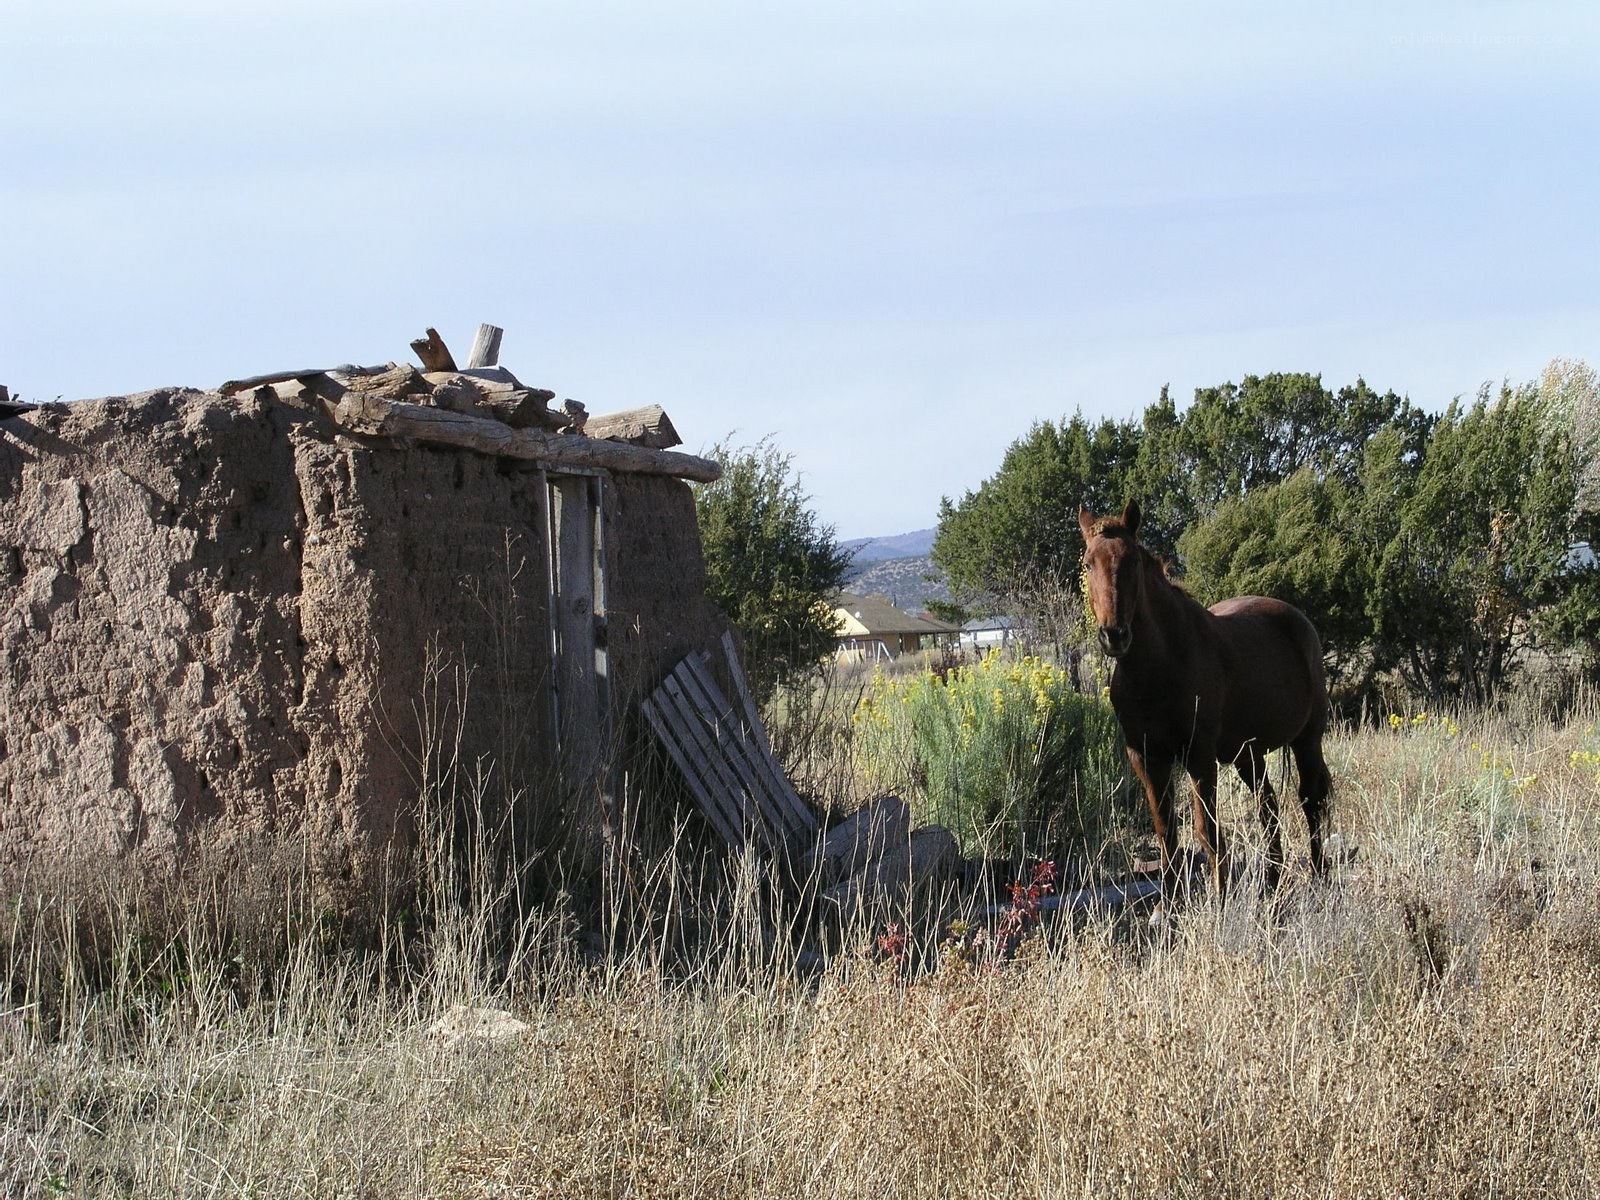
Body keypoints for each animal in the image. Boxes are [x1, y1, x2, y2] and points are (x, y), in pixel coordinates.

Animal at [1078, 500, 1331, 899]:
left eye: (1131, 561)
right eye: (1089, 563)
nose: (1114, 635)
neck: (1158, 668)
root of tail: (1298, 619)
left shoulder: (1199, 755)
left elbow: (1207, 832)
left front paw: (1220, 899)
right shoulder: (1146, 757)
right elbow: (1166, 832)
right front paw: (1169, 907)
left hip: (1308, 738)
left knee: (1311, 800)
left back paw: (1319, 876)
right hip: (1248, 753)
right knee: (1268, 807)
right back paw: (1273, 881)